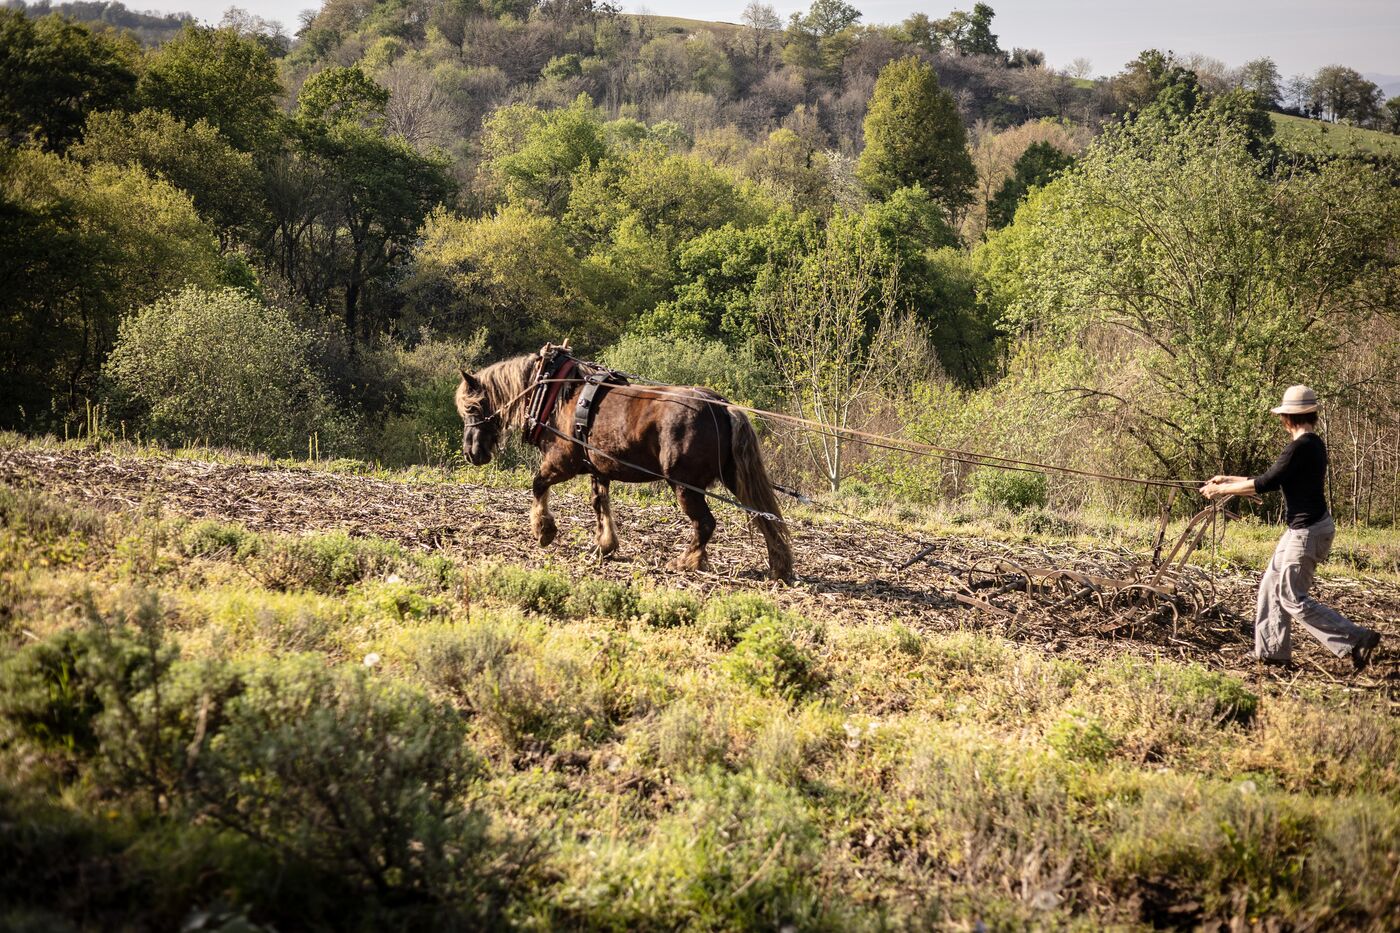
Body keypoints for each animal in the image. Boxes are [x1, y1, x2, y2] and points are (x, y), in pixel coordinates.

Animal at [455, 349, 793, 581]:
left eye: (473, 407)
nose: (471, 452)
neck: (555, 394)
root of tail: (722, 407)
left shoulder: (562, 461)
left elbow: (538, 484)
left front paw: (544, 530)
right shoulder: (597, 468)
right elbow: (600, 503)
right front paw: (604, 545)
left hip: (684, 485)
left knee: (705, 523)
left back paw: (686, 562)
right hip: (733, 478)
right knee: (764, 516)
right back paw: (779, 566)